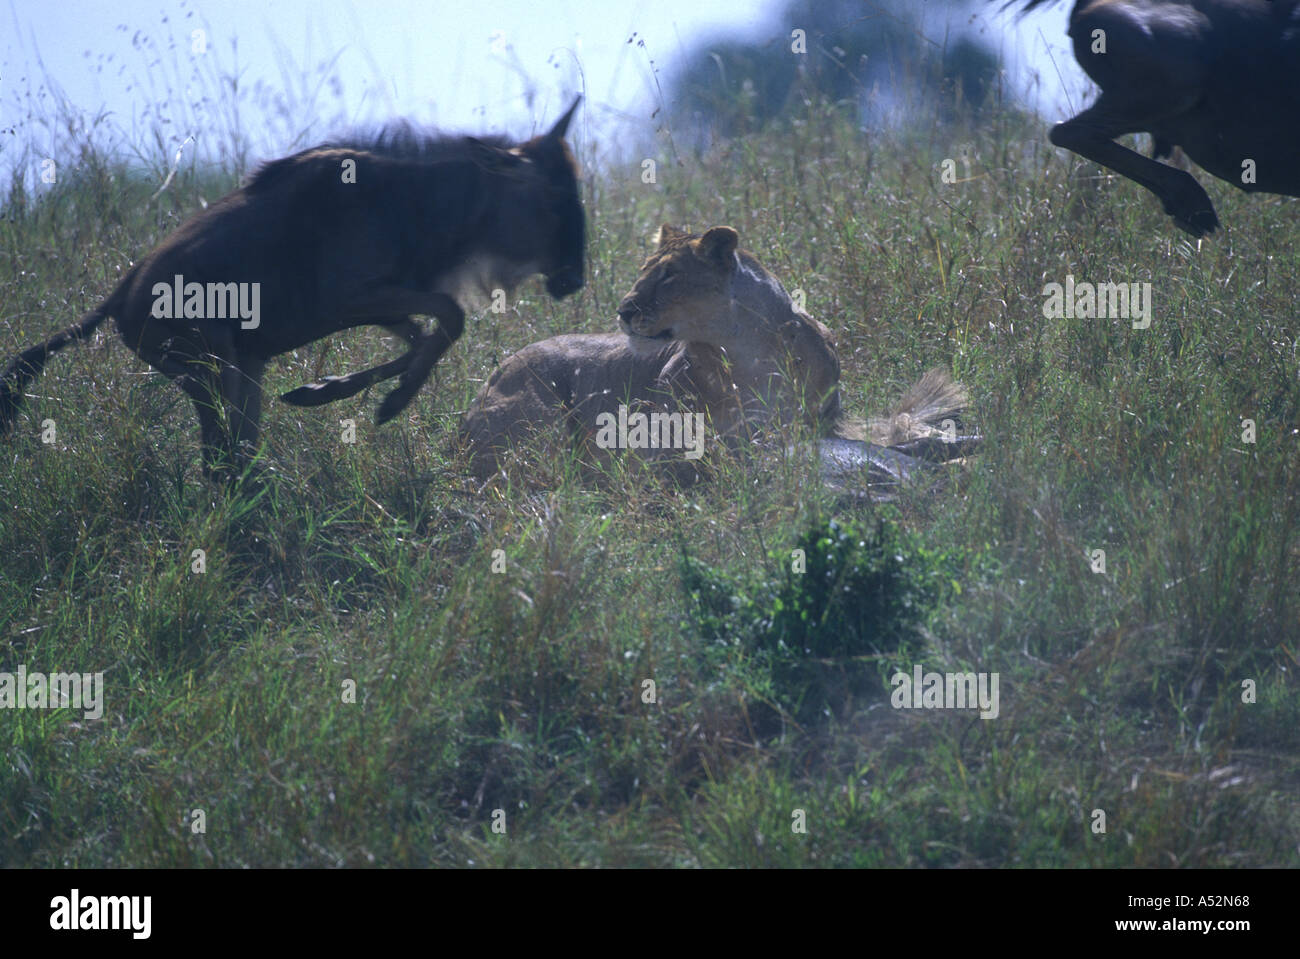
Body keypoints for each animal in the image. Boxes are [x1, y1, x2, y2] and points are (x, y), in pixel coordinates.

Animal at [460, 224, 975, 489]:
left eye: (669, 275)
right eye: (644, 271)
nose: (624, 310)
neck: (752, 351)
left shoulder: (823, 425)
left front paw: (951, 449)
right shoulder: (671, 443)